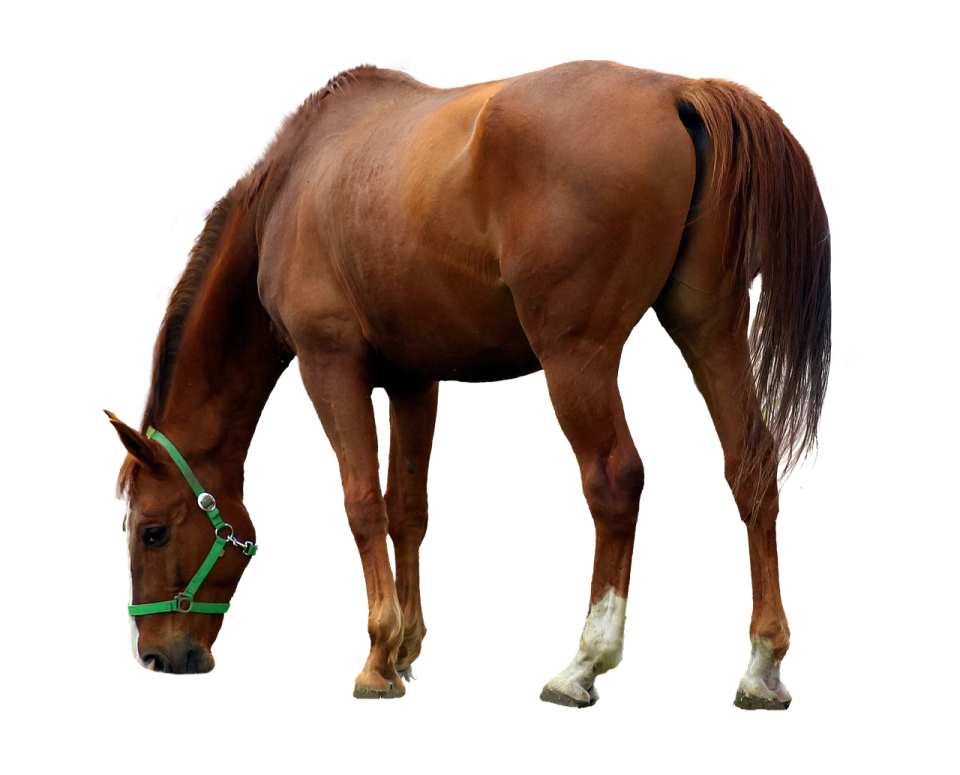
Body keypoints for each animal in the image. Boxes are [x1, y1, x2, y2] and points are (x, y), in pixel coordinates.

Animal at [105, 57, 832, 709]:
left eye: (153, 531)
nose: (156, 655)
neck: (294, 183)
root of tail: (677, 91)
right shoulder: (413, 380)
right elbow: (407, 508)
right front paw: (405, 650)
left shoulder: (328, 362)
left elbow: (362, 503)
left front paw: (376, 658)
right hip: (708, 332)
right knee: (751, 472)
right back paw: (762, 666)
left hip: (577, 356)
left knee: (614, 480)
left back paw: (583, 663)